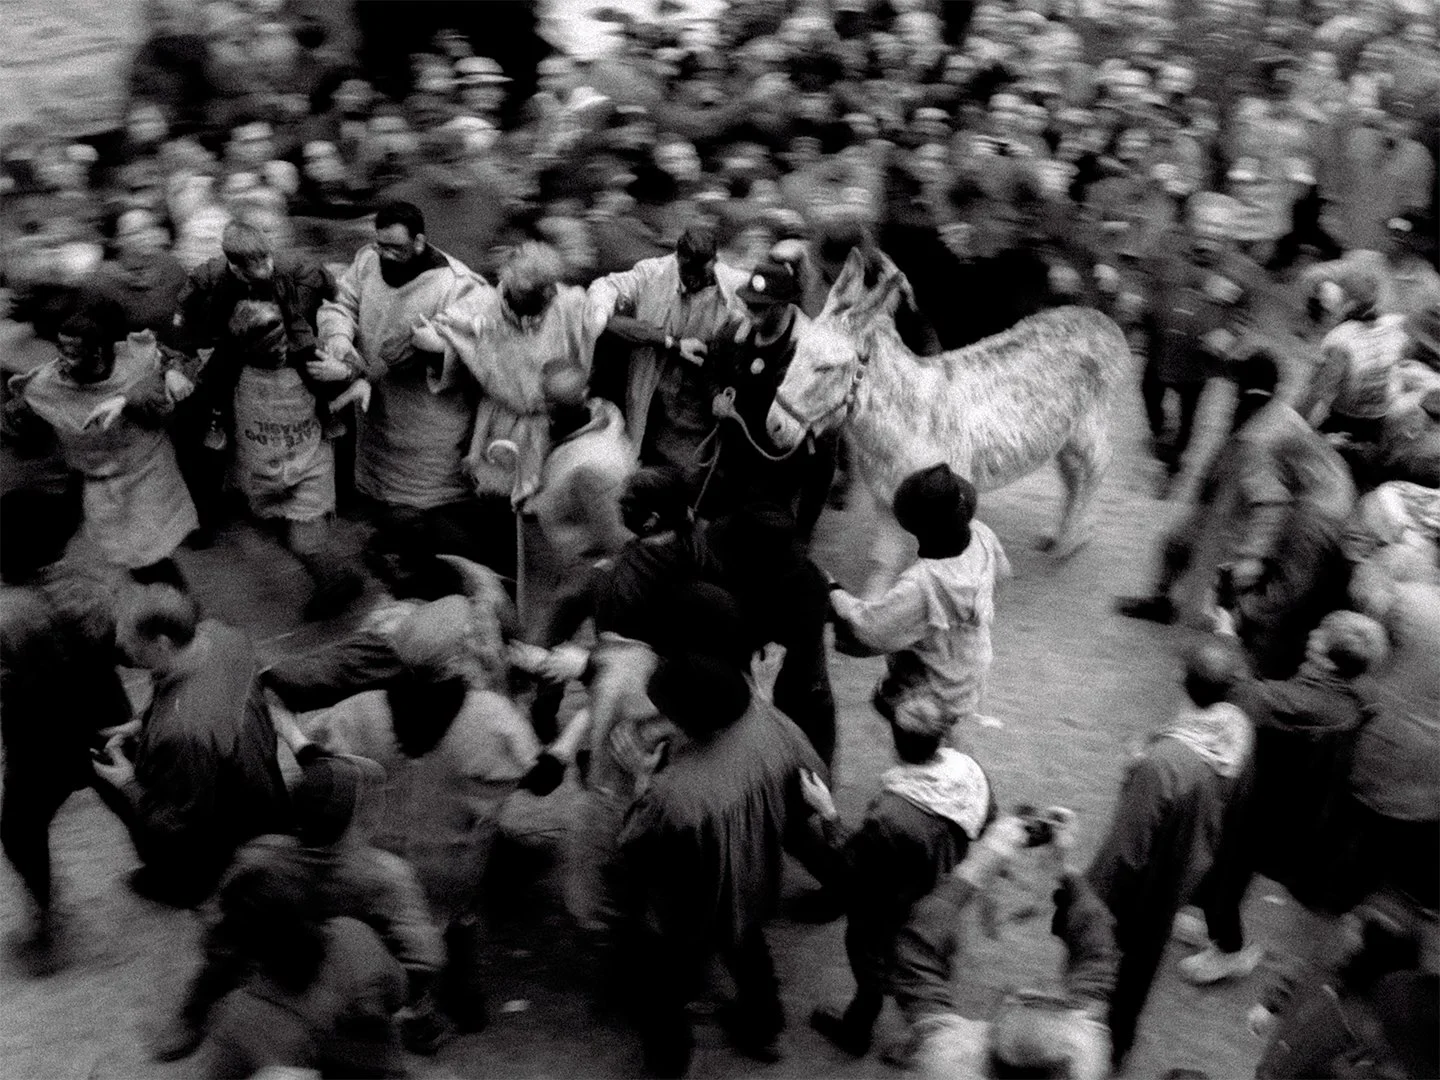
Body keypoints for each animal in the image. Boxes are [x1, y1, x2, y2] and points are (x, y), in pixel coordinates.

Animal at [765, 245, 1130, 590]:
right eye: (795, 351)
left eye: (825, 368)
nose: (773, 425)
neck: (899, 424)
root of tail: (1100, 318)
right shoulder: (885, 501)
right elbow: (882, 561)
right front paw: (872, 604)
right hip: (1062, 438)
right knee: (1072, 478)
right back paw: (1058, 534)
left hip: (1090, 430)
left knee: (1097, 468)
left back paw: (1073, 540)